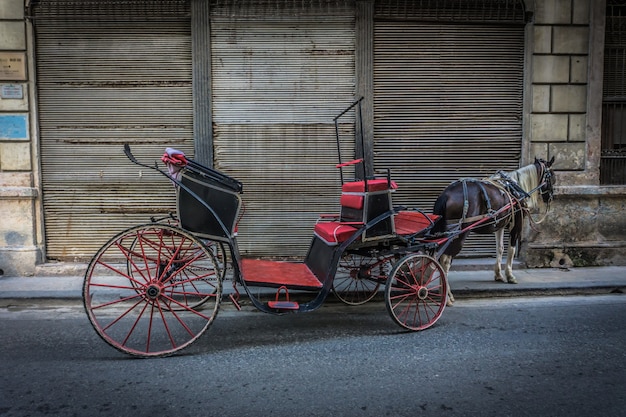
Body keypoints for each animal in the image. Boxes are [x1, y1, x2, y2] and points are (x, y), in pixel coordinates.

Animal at [432, 158, 552, 304]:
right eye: (552, 175)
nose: (551, 196)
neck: (516, 188)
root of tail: (446, 195)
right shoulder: (517, 223)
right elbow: (511, 249)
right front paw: (510, 275)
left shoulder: (499, 225)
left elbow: (500, 248)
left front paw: (498, 274)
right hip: (458, 233)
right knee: (445, 260)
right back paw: (447, 296)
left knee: (438, 259)